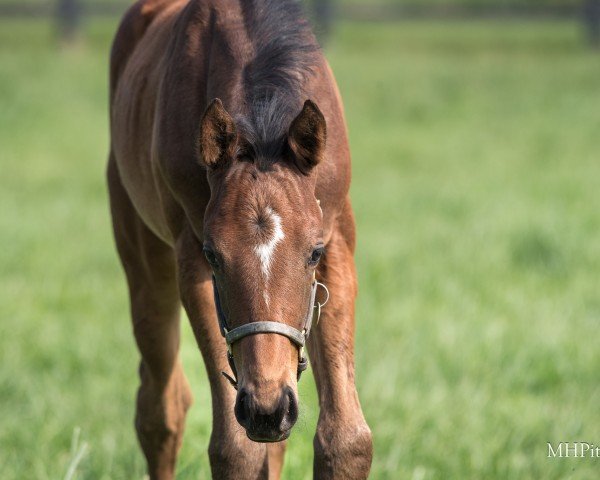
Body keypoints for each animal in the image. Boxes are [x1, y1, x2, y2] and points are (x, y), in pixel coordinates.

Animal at [107, 1, 370, 478]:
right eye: (214, 256)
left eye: (313, 253)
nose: (267, 409)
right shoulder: (190, 254)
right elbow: (235, 448)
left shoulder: (338, 237)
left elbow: (346, 439)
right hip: (141, 252)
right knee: (161, 407)